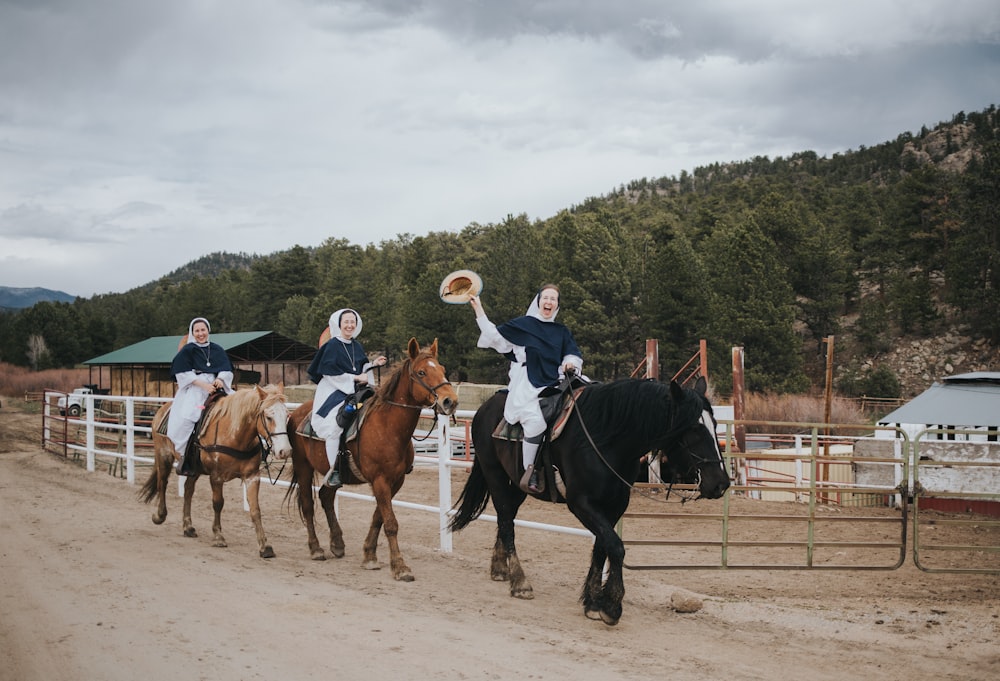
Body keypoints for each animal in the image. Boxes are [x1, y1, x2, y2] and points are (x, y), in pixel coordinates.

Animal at [139, 382, 292, 556]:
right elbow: (218, 503)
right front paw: (218, 536)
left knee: (188, 490)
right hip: (163, 455)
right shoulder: (216, 477)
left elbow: (255, 509)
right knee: (162, 483)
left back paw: (188, 526)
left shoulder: (252, 476)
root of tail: (162, 409)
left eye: (287, 415)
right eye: (268, 417)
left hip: (193, 468)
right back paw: (159, 516)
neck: (235, 435)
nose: (285, 451)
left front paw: (264, 546)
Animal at [286, 338, 458, 580]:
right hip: (302, 466)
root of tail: (297, 413)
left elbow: (379, 517)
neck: (388, 427)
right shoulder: (379, 480)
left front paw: (369, 555)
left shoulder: (395, 481)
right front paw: (399, 566)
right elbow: (391, 523)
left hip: (332, 473)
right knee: (308, 504)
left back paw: (337, 543)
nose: (450, 401)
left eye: (442, 369)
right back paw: (316, 548)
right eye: (422, 372)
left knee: (326, 497)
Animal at [450, 374, 732, 624]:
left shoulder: (615, 505)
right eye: (693, 429)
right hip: (494, 474)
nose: (721, 483)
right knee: (507, 522)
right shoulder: (581, 504)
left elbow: (601, 547)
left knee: (505, 516)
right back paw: (520, 582)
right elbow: (616, 546)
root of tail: (485, 407)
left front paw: (593, 601)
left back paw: (500, 568)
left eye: (715, 426)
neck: (606, 438)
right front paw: (611, 605)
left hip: (518, 485)